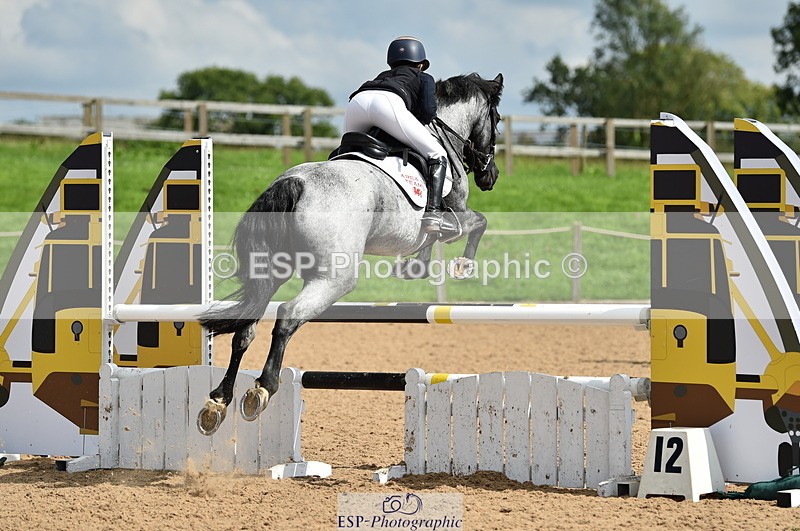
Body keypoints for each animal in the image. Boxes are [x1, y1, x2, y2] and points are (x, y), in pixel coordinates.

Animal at [196, 72, 504, 435]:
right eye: (496, 120)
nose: (491, 176)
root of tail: (292, 183)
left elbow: (431, 242)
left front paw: (416, 268)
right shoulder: (456, 213)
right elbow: (479, 222)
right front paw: (462, 266)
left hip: (273, 270)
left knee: (246, 327)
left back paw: (218, 401)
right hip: (336, 278)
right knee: (287, 314)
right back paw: (262, 388)